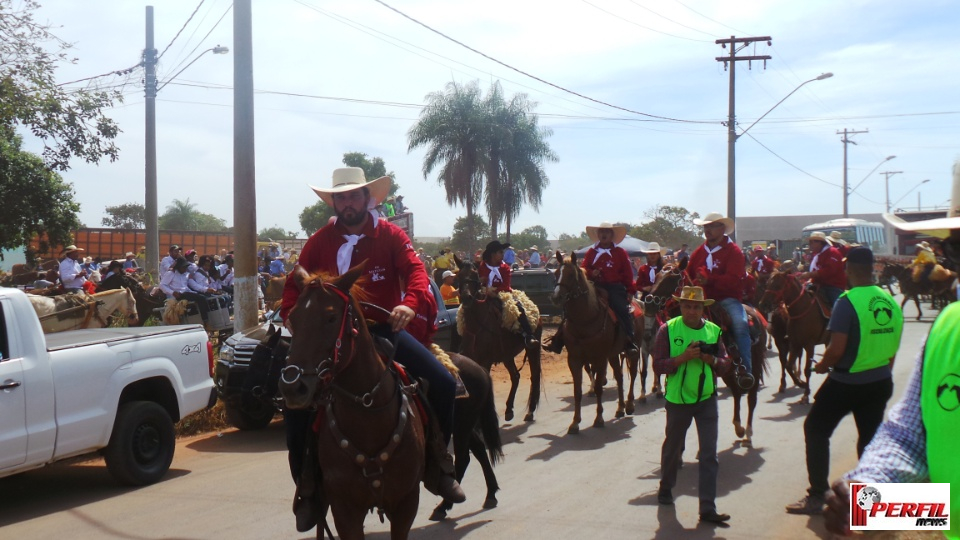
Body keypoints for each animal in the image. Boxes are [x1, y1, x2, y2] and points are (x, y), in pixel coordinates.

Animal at [278, 268, 502, 536]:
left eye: (331, 318)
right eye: (292, 318)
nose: (293, 386)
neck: (368, 413)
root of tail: (478, 367)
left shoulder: (406, 501)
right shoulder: (344, 509)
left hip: (463, 423)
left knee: (466, 456)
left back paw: (451, 498)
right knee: (476, 450)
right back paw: (485, 494)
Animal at [456, 260, 540, 422]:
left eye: (475, 275)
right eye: (458, 275)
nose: (466, 297)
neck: (476, 327)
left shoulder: (486, 361)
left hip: (532, 349)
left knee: (534, 376)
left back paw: (530, 411)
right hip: (507, 355)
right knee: (515, 376)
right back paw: (509, 410)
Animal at [644, 266, 772, 448]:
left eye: (671, 279)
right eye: (657, 277)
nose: (648, 303)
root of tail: (755, 314)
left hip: (754, 364)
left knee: (751, 396)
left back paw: (747, 434)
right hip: (728, 372)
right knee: (736, 392)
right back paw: (738, 427)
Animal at [756, 272, 824, 402]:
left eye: (777, 286)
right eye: (767, 284)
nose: (763, 304)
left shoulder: (807, 344)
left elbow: (806, 368)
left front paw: (805, 391)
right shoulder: (784, 342)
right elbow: (784, 362)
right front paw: (784, 384)